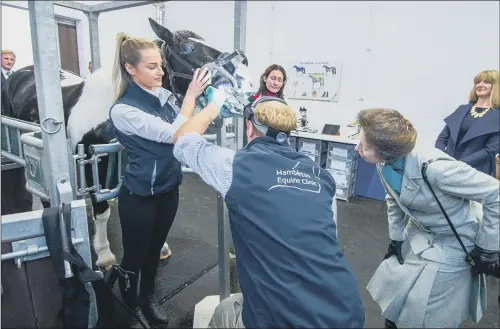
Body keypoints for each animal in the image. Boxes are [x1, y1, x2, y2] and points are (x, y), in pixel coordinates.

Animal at [0, 17, 250, 270]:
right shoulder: (93, 164)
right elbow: (102, 211)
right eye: (188, 48)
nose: (243, 63)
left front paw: (161, 246)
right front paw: (103, 254)